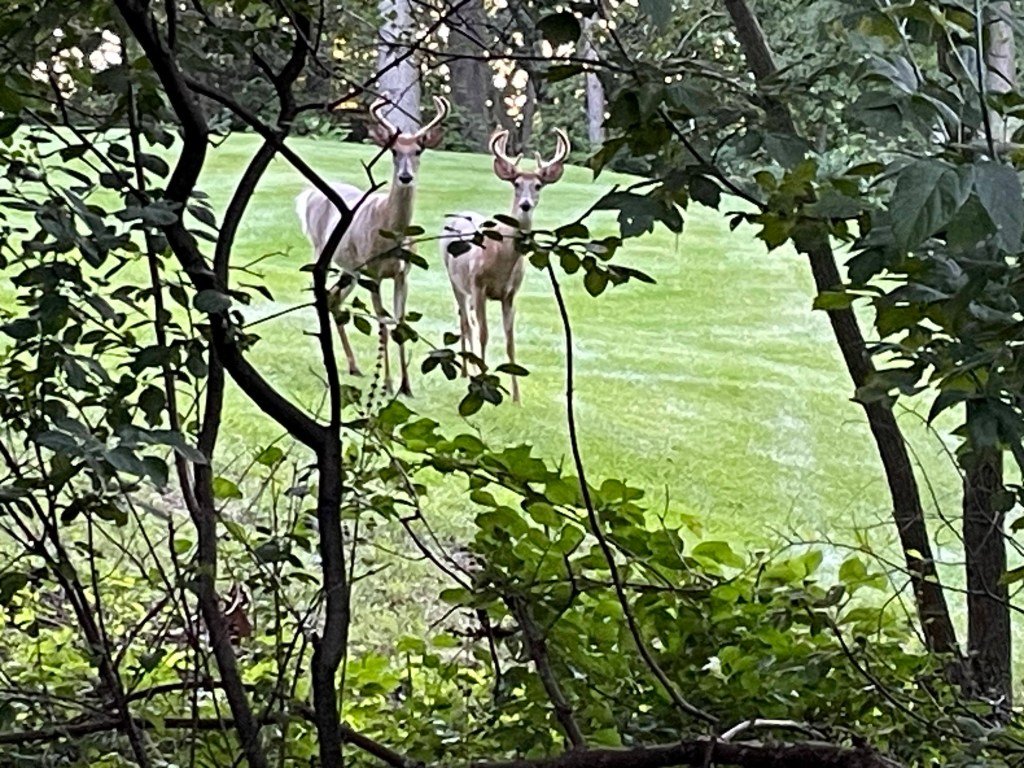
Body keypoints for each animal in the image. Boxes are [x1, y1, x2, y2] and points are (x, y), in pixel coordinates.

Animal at [296, 95, 449, 396]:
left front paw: (406, 386)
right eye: (393, 152)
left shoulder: (403, 273)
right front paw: (387, 384)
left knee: (333, 299)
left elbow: (400, 323)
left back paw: (354, 366)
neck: (391, 233)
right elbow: (382, 324)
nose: (405, 177)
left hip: (352, 271)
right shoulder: (375, 273)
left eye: (418, 151)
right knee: (323, 297)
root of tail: (308, 195)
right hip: (323, 254)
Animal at [440, 127, 571, 403]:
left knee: (466, 319)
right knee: (466, 323)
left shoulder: (511, 293)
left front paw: (517, 397)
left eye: (538, 185)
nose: (525, 204)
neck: (502, 258)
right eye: (517, 184)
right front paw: (483, 385)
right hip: (455, 281)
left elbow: (510, 341)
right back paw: (466, 372)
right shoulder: (479, 286)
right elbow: (484, 335)